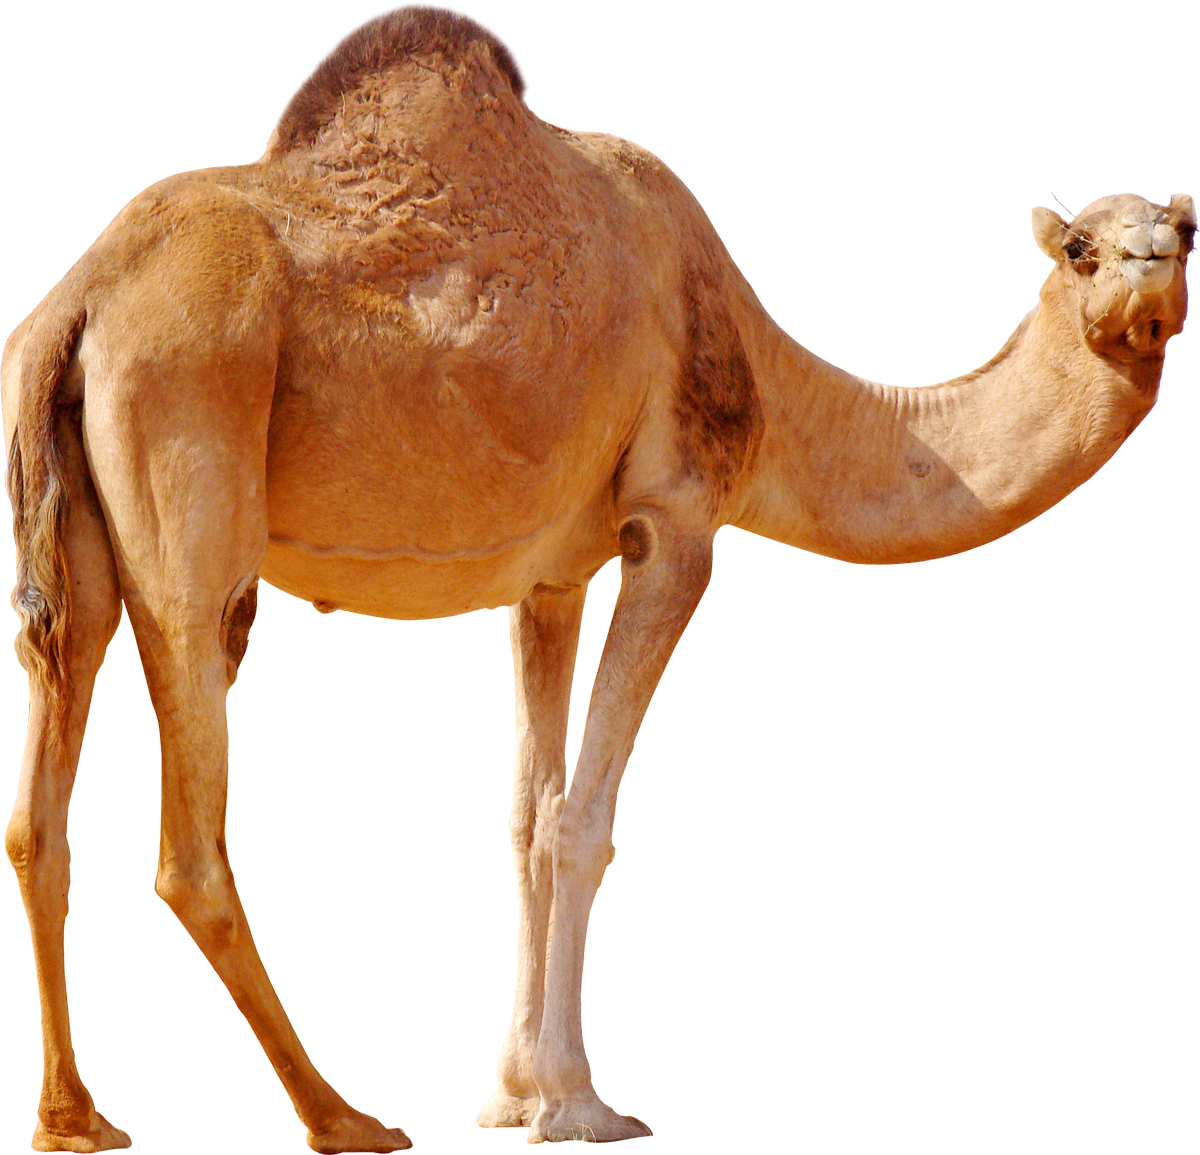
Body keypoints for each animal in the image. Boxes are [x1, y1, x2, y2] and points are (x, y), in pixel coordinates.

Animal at [1, 6, 1193, 1153]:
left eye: (1181, 232)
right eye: (1080, 246)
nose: (1145, 274)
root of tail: (79, 299)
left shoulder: (555, 579)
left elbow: (529, 815)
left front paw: (515, 1091)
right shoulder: (674, 524)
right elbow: (583, 820)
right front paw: (578, 1105)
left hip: (77, 539)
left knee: (39, 811)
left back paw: (78, 1116)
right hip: (193, 478)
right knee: (188, 839)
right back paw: (341, 1117)